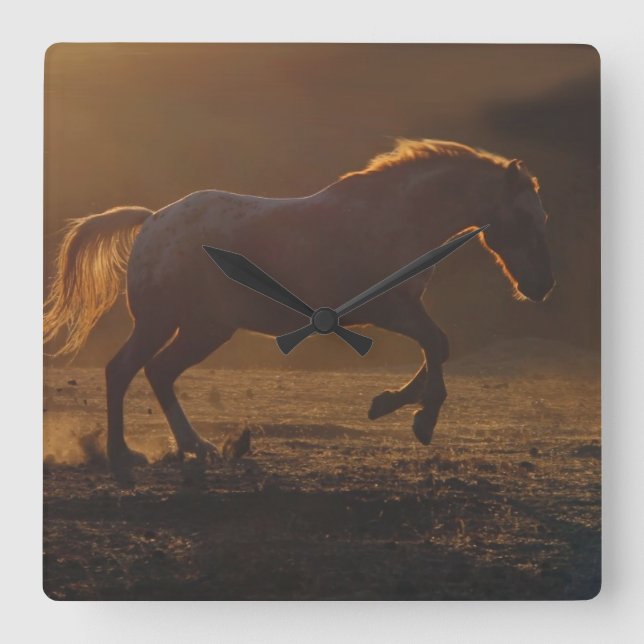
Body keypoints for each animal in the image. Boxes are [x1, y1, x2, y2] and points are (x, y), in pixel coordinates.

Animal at [44, 139, 555, 469]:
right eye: (525, 217)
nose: (543, 286)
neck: (397, 216)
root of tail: (152, 222)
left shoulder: (402, 310)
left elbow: (438, 348)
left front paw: (391, 404)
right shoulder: (389, 311)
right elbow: (437, 343)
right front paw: (421, 417)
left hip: (200, 329)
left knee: (155, 372)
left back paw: (191, 447)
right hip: (167, 323)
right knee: (125, 370)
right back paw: (124, 453)